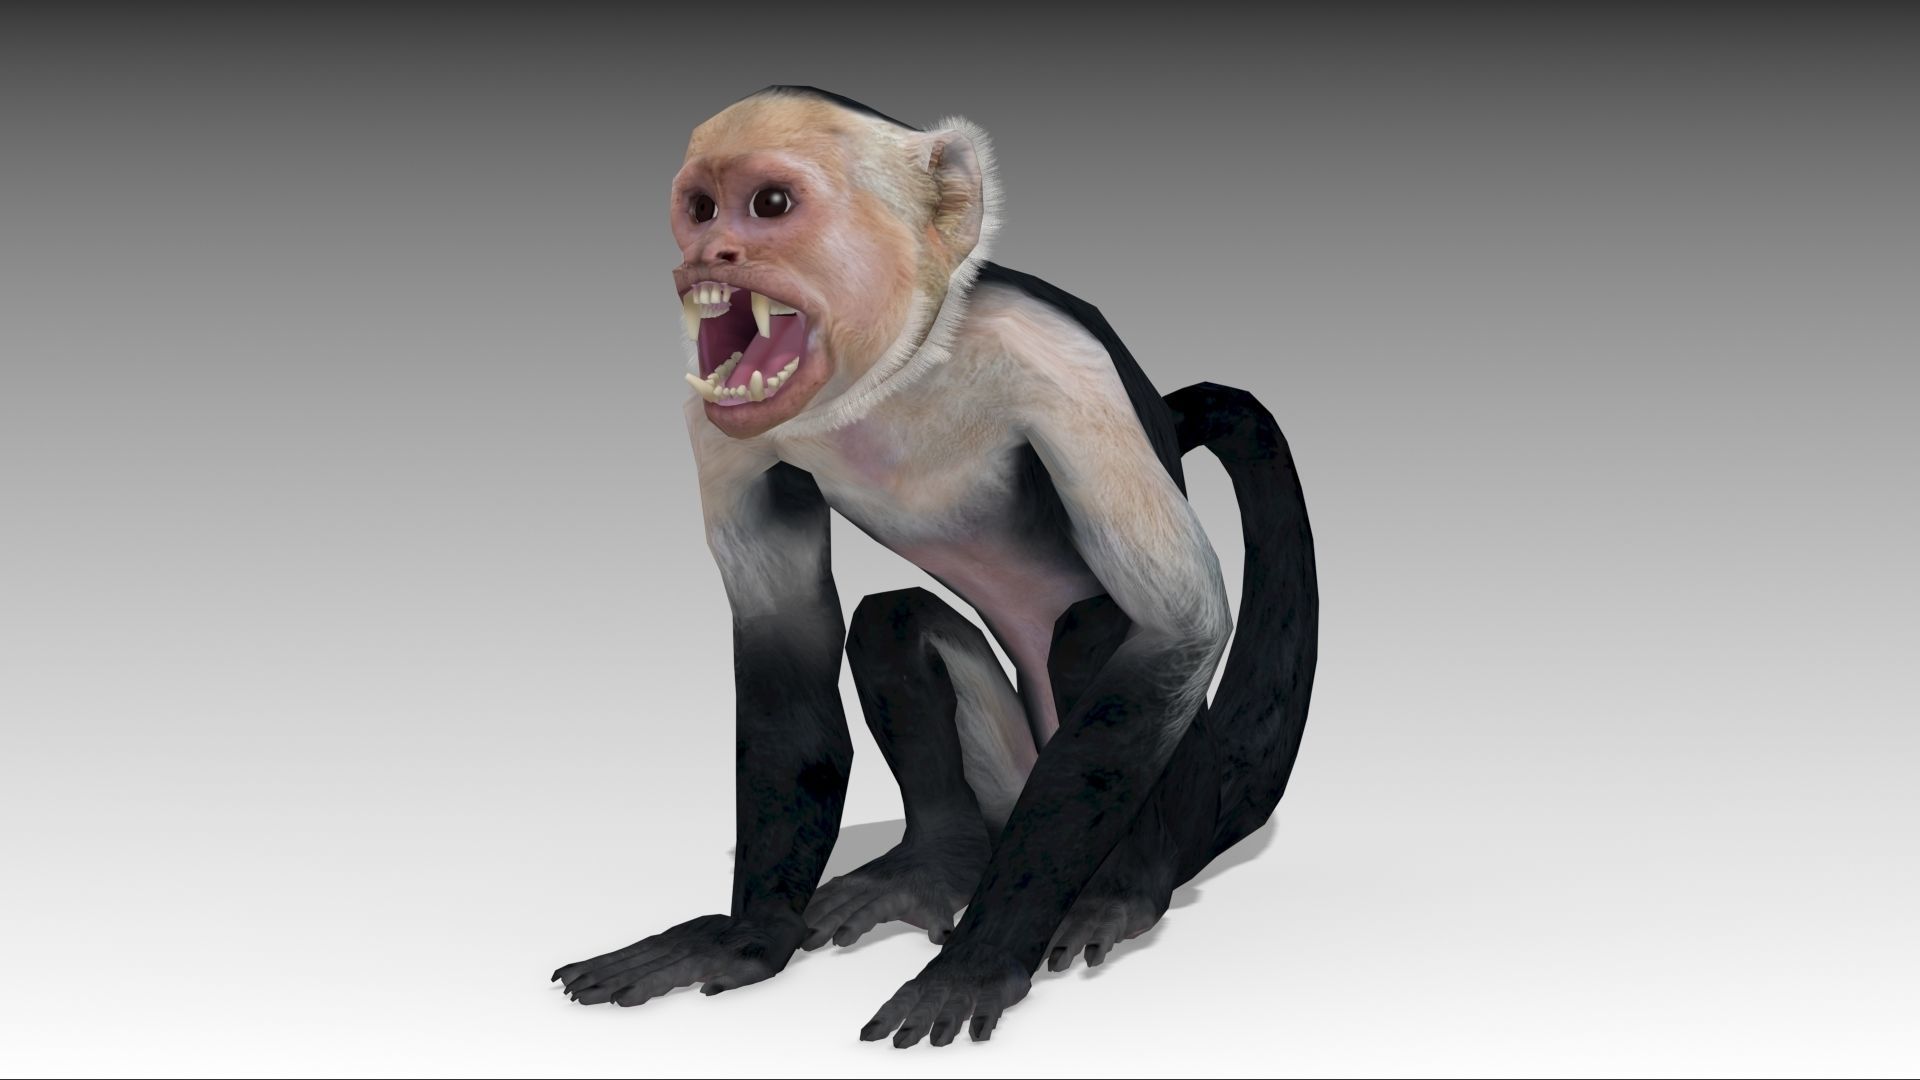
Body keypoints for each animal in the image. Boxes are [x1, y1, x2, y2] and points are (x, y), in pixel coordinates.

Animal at [551, 86, 1318, 1048]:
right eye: (698, 209)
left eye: (769, 205)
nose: (707, 255)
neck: (892, 380)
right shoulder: (720, 423)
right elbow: (785, 643)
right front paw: (745, 941)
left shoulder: (1052, 361)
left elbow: (1180, 627)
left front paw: (981, 961)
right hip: (1011, 781)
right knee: (892, 621)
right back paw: (935, 863)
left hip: (1154, 795)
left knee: (1097, 629)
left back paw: (1120, 895)